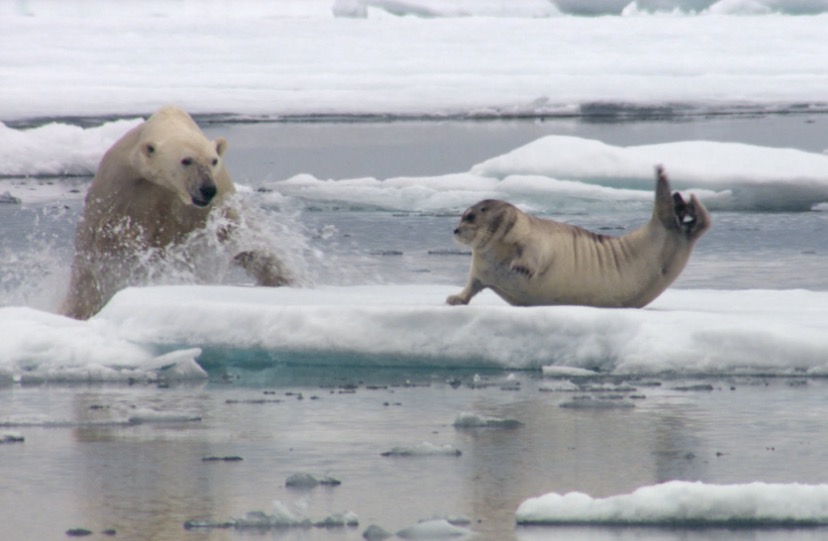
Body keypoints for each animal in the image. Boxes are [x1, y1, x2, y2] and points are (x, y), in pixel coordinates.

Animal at [59, 104, 292, 318]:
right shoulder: (119, 191)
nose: (207, 189)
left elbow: (241, 237)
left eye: (213, 160)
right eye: (186, 160)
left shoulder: (213, 203)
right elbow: (105, 246)